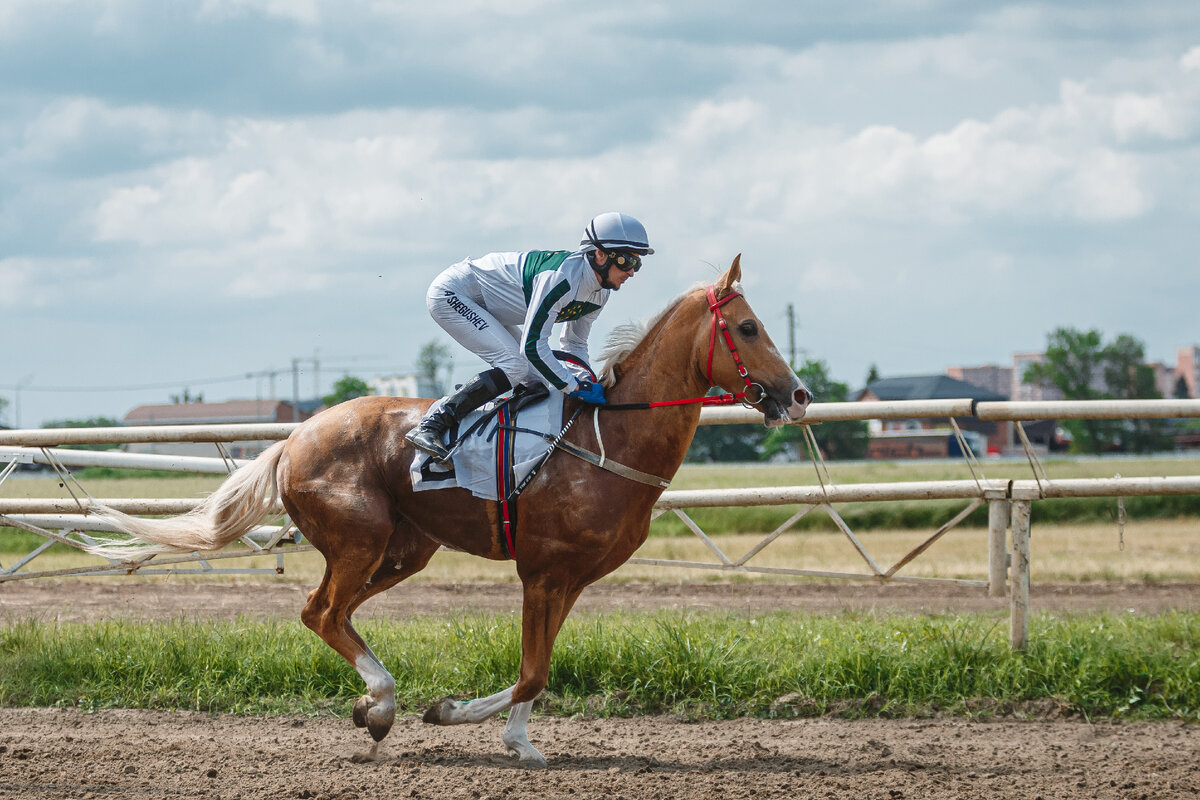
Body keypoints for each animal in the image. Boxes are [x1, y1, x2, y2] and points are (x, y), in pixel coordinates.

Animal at [88, 257, 811, 767]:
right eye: (748, 327)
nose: (798, 394)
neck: (609, 437)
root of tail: (293, 440)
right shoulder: (542, 571)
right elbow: (531, 671)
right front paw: (450, 713)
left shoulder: (572, 578)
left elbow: (538, 672)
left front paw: (520, 743)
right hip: (362, 536)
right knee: (322, 611)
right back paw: (382, 704)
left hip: (406, 548)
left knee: (335, 614)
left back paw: (370, 703)